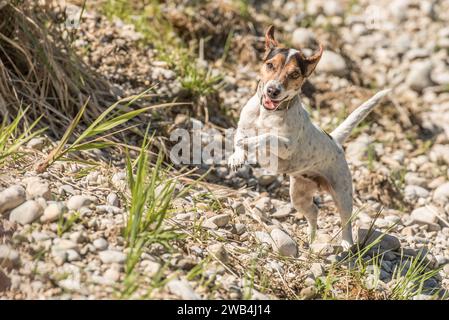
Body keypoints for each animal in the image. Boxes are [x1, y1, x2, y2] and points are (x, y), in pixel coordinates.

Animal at [228, 25, 388, 250]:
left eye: (295, 74)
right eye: (270, 65)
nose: (273, 90)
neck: (268, 113)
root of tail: (335, 140)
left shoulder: (286, 145)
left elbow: (266, 137)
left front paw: (250, 142)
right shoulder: (243, 123)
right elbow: (239, 137)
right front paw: (237, 156)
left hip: (342, 194)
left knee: (346, 220)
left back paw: (346, 243)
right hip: (299, 195)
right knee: (313, 211)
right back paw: (311, 240)